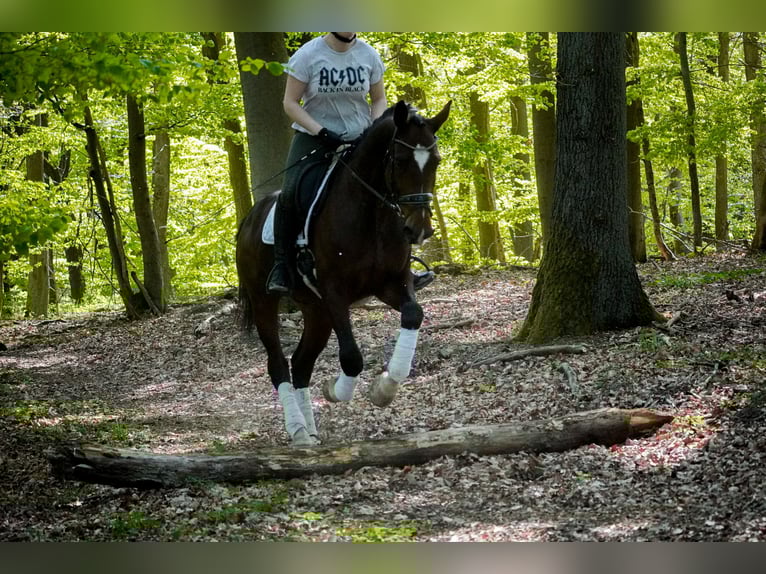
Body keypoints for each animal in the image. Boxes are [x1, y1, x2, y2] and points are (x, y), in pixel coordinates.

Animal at [236, 100, 451, 446]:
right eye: (401, 160)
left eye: (436, 161)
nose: (418, 229)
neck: (372, 213)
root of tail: (249, 219)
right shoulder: (334, 290)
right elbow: (351, 357)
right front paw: (336, 392)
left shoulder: (392, 283)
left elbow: (413, 314)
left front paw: (384, 389)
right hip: (264, 301)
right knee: (278, 364)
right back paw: (298, 430)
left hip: (316, 310)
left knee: (301, 363)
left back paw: (310, 430)